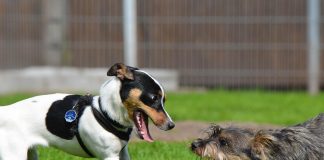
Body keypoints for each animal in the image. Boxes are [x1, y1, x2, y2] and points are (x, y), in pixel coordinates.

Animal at [0, 63, 175, 159]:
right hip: (14, 155)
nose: (171, 125)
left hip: (30, 154)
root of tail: (5, 111)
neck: (105, 112)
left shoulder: (123, 154)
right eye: (153, 98)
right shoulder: (109, 156)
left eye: (164, 100)